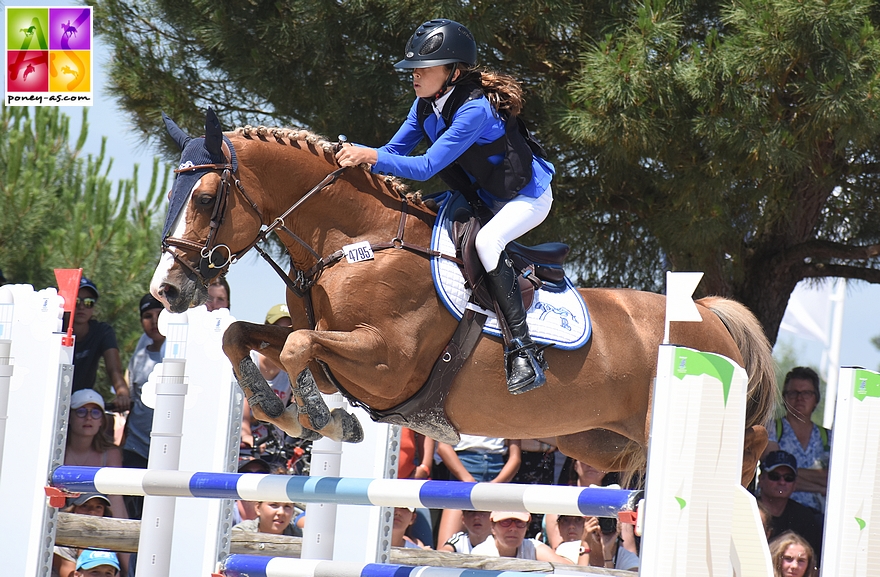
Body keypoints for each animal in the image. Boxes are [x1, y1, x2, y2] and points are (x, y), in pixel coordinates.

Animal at [153, 111, 776, 482]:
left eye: (204, 198)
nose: (167, 289)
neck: (351, 243)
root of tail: (710, 313)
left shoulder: (388, 362)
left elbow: (297, 346)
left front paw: (325, 421)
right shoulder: (332, 348)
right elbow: (247, 337)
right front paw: (281, 409)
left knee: (757, 435)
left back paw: (743, 485)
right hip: (598, 438)